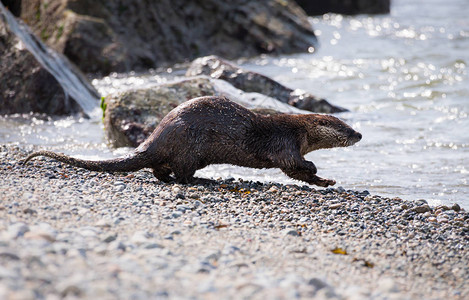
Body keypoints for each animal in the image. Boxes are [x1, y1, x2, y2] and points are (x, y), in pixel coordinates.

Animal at [22, 96, 362, 186]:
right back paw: (203, 181)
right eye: (344, 127)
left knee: (158, 169)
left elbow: (299, 173)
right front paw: (316, 168)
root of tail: (156, 136)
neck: (300, 132)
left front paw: (326, 182)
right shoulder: (285, 143)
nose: (359, 134)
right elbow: (293, 164)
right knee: (180, 173)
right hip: (189, 146)